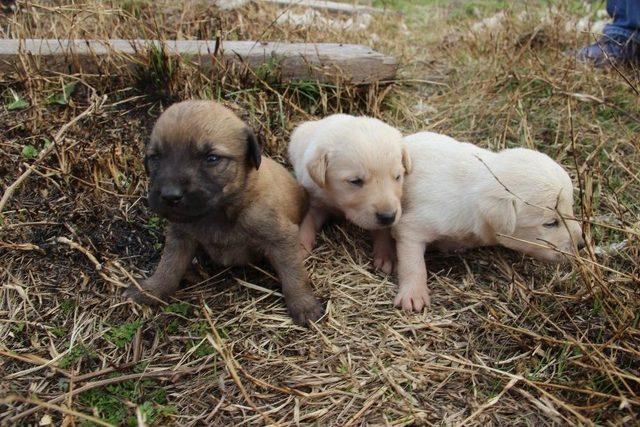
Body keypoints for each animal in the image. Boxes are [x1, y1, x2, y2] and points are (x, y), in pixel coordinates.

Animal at [125, 101, 324, 328]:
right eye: (155, 157)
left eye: (212, 158)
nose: (170, 195)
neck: (220, 212)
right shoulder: (180, 237)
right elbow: (168, 268)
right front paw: (151, 290)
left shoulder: (281, 237)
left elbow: (293, 273)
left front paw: (303, 304)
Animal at [288, 114, 412, 274]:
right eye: (355, 181)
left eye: (398, 177)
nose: (388, 217)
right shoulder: (315, 198)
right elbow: (307, 222)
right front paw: (299, 247)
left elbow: (383, 231)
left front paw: (386, 254)